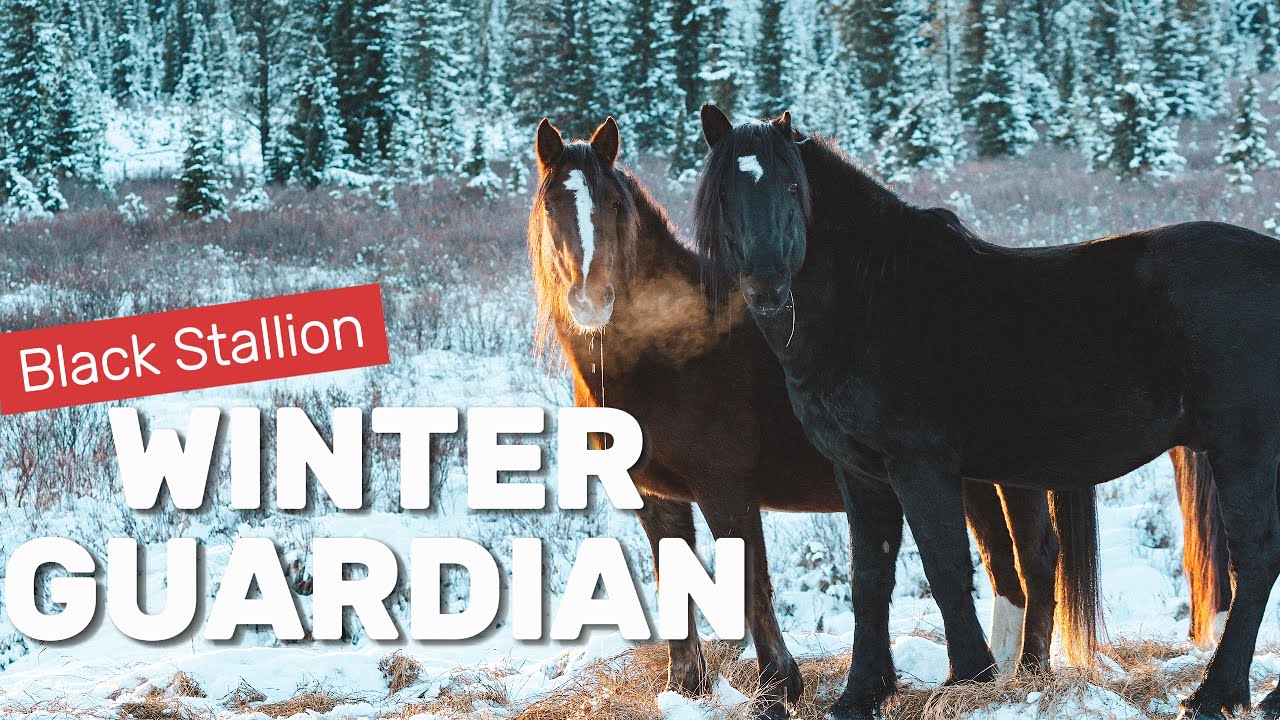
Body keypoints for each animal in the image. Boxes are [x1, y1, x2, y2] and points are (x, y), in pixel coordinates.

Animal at [528, 116, 1086, 719]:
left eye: (611, 204)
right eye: (552, 205)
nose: (591, 300)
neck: (669, 353)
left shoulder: (726, 488)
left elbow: (750, 581)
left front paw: (778, 687)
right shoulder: (657, 497)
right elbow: (674, 582)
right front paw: (687, 688)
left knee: (1035, 558)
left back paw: (1026, 674)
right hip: (971, 483)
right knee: (1003, 567)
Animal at [694, 104, 1273, 720]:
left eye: (790, 185)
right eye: (725, 193)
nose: (767, 285)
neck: (872, 299)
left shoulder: (919, 467)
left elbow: (945, 567)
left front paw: (969, 677)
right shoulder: (859, 472)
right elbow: (869, 577)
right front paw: (861, 693)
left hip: (1244, 450)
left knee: (1257, 559)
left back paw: (1216, 693)